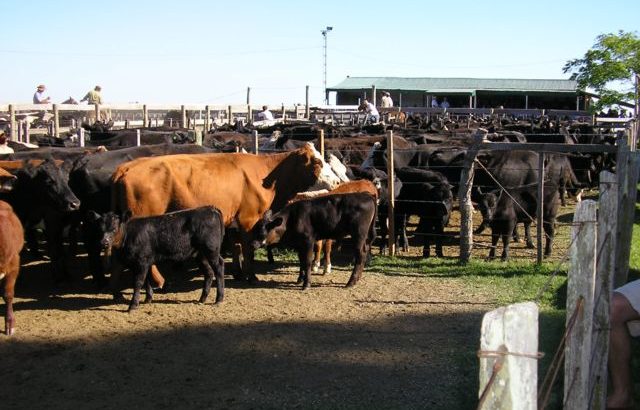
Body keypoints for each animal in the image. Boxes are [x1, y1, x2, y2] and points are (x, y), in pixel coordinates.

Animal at [111, 143, 340, 286]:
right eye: (318, 163)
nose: (338, 181)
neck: (266, 175)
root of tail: (126, 168)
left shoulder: (233, 221)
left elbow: (236, 246)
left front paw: (238, 272)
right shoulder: (249, 219)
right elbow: (247, 248)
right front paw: (251, 276)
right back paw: (158, 282)